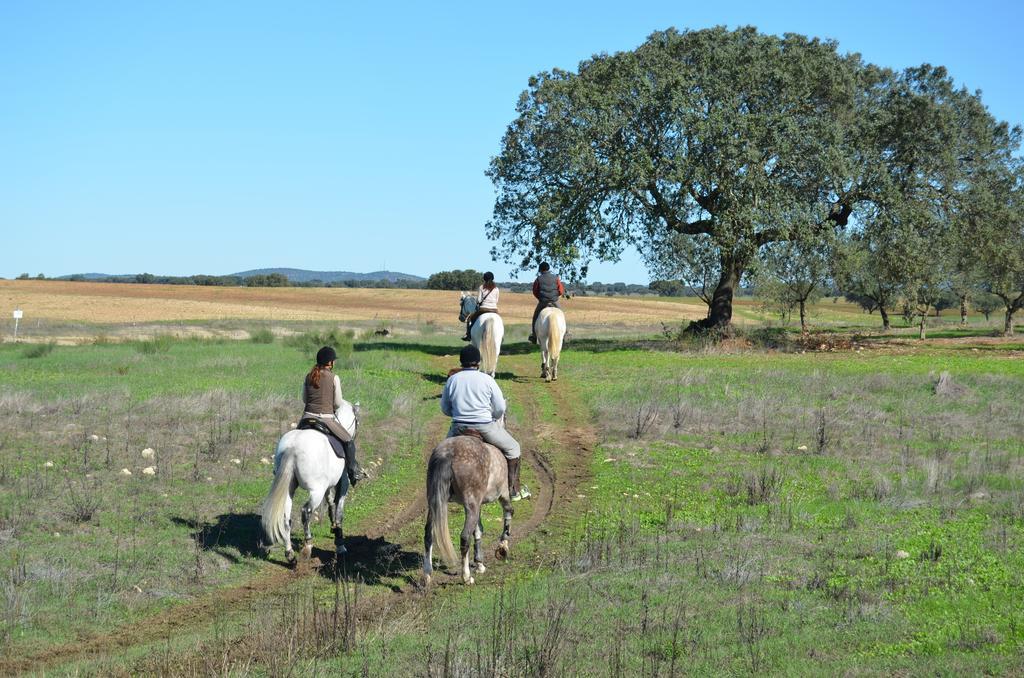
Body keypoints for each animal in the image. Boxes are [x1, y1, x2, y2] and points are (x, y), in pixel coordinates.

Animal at [258, 430, 350, 561]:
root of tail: (292, 448)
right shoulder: (343, 481)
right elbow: (339, 512)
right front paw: (340, 544)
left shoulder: (328, 485)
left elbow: (330, 501)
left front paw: (333, 526)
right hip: (316, 491)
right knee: (306, 511)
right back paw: (307, 546)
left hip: (289, 489)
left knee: (286, 519)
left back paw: (290, 554)